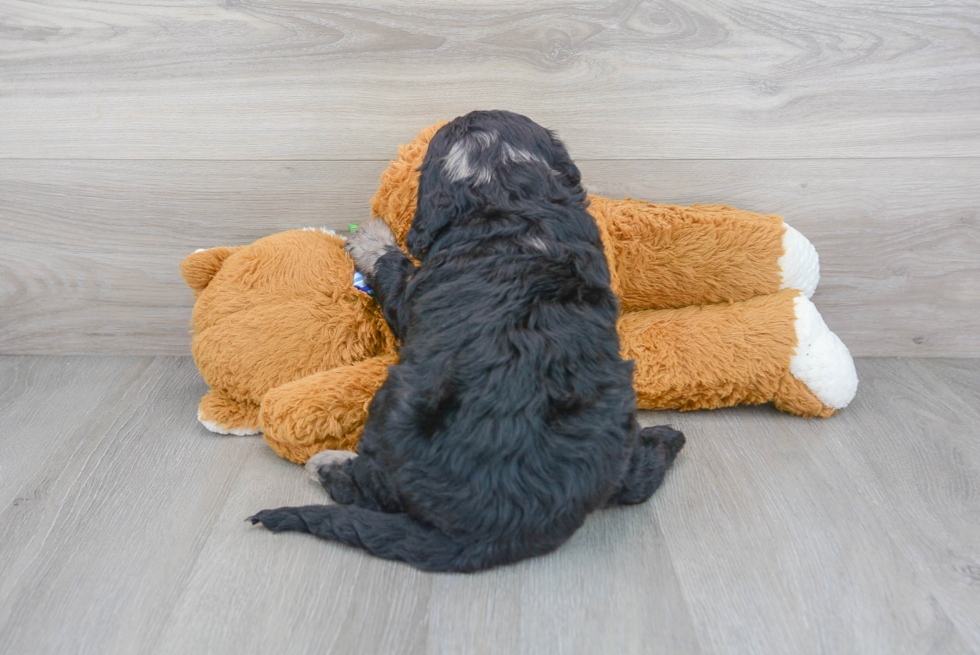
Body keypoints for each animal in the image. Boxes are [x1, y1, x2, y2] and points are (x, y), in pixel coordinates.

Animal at [249, 110, 684, 572]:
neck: (508, 198)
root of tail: (500, 525)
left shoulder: (411, 298)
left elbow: (392, 268)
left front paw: (371, 238)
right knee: (636, 482)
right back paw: (666, 438)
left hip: (394, 407)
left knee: (373, 488)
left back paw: (326, 465)